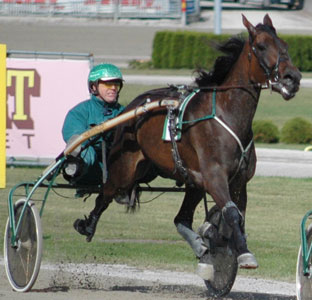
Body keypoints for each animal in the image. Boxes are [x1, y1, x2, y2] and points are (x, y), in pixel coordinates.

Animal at [74, 14, 302, 292]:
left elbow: (235, 215)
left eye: (285, 45)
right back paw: (87, 225)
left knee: (180, 218)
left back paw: (200, 245)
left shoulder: (238, 181)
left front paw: (215, 240)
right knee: (104, 193)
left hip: (189, 180)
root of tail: (132, 107)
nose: (292, 78)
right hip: (125, 169)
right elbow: (231, 213)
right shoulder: (214, 177)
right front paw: (241, 253)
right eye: (260, 46)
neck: (227, 115)